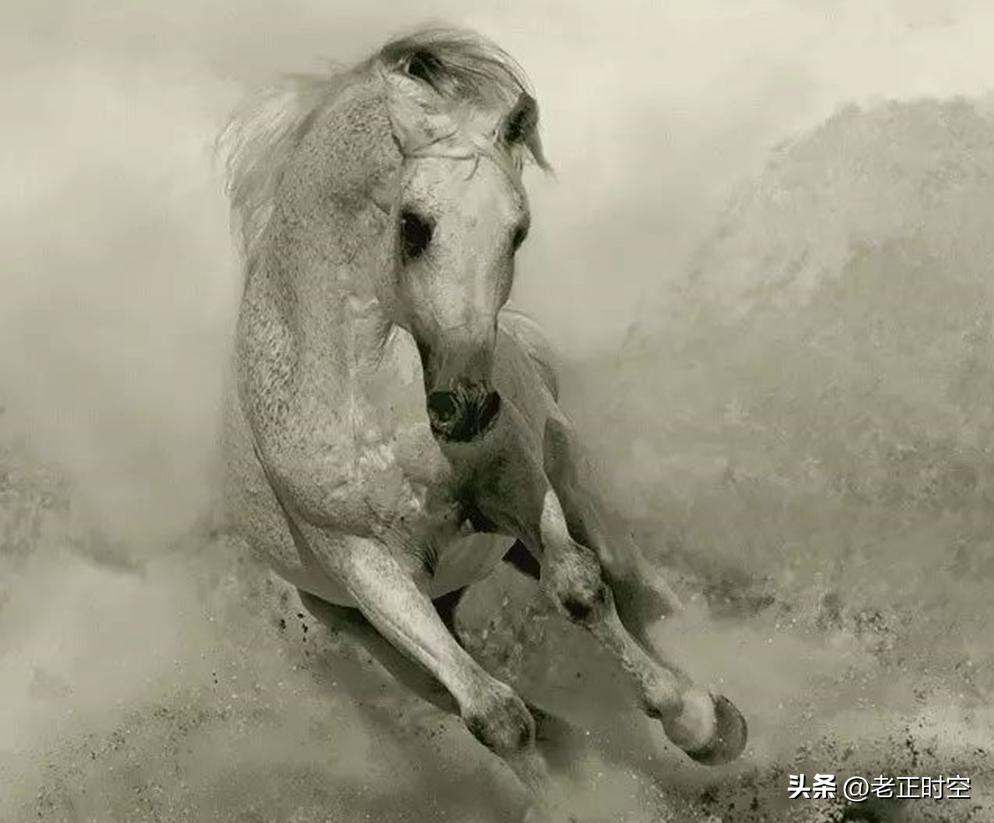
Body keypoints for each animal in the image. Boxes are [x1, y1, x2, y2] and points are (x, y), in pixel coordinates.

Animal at [217, 26, 747, 821]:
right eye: (413, 226)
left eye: (517, 230)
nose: (465, 406)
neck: (366, 401)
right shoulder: (367, 568)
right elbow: (492, 716)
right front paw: (577, 796)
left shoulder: (515, 481)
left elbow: (579, 589)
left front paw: (702, 724)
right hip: (381, 622)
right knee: (468, 695)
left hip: (564, 478)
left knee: (630, 580)